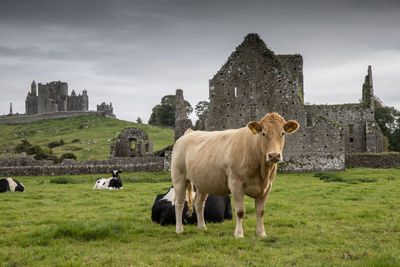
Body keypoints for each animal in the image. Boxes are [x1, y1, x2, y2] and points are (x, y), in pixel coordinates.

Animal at [170, 112, 298, 238]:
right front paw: (239, 234)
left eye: (282, 133)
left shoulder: (267, 187)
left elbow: (260, 211)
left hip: (203, 182)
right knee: (179, 202)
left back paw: (202, 227)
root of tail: (189, 133)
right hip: (179, 178)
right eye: (263, 133)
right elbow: (240, 211)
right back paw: (179, 229)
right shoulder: (236, 184)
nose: (274, 155)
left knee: (199, 203)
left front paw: (261, 233)